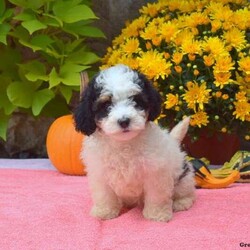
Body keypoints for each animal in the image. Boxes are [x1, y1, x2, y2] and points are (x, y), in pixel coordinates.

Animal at [73, 63, 195, 222]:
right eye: (106, 105)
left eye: (136, 101)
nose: (124, 121)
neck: (124, 144)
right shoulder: (100, 172)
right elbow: (105, 194)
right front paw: (105, 212)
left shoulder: (155, 172)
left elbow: (156, 195)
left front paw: (157, 214)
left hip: (183, 177)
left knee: (187, 191)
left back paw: (181, 202)